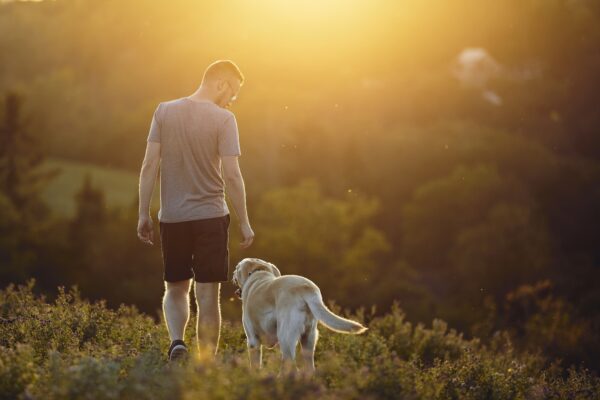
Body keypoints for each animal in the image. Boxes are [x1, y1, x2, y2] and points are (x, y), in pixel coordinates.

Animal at [233, 258, 366, 374]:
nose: (233, 274)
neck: (259, 272)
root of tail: (306, 288)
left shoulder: (253, 341)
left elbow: (255, 366)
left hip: (285, 338)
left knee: (291, 366)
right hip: (309, 338)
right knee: (309, 368)